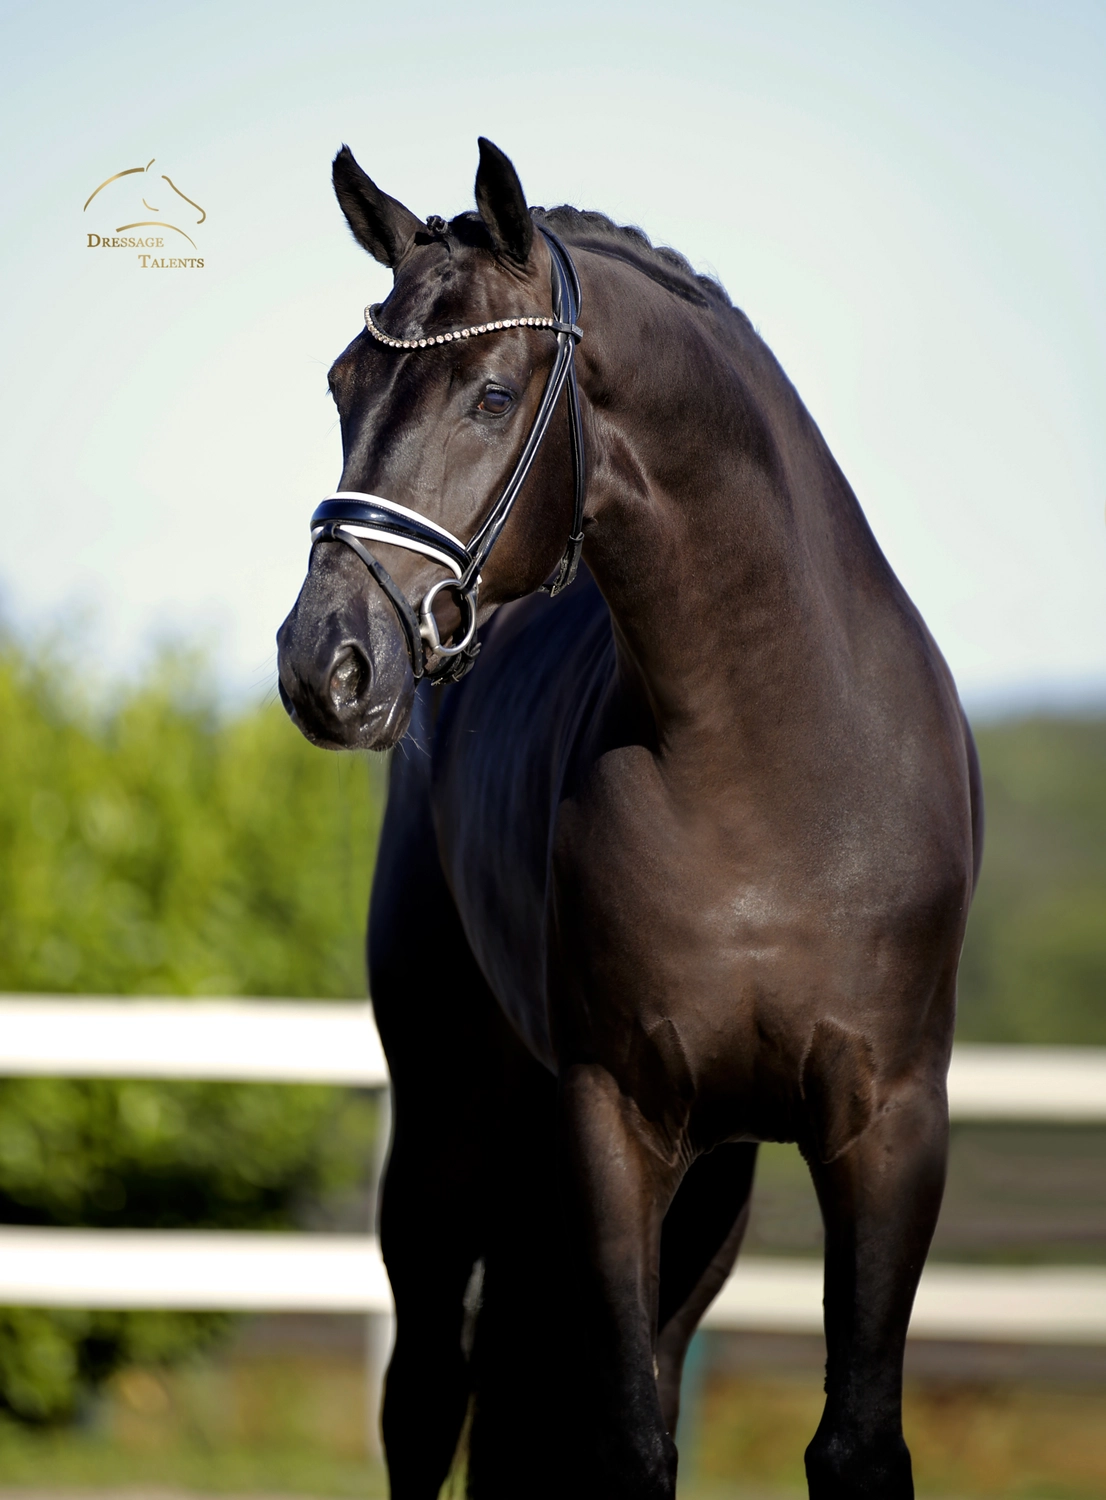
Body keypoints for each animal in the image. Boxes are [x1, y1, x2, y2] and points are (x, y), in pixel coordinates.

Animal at [277, 137, 982, 1499]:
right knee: (425, 1393)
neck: (769, 763)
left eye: (492, 394)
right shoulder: (611, 1118)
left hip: (711, 1185)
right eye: (343, 385)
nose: (324, 665)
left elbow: (852, 1440)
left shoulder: (889, 1128)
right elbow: (622, 1440)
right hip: (447, 1126)